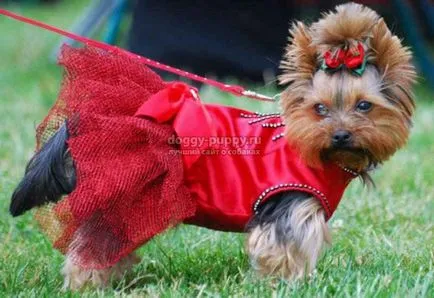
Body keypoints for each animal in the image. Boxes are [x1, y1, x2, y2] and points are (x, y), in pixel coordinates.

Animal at [11, 2, 418, 290]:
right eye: (320, 109)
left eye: (364, 106)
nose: (341, 135)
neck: (320, 155)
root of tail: (79, 123)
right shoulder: (289, 207)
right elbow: (283, 251)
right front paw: (286, 284)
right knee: (90, 246)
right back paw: (88, 283)